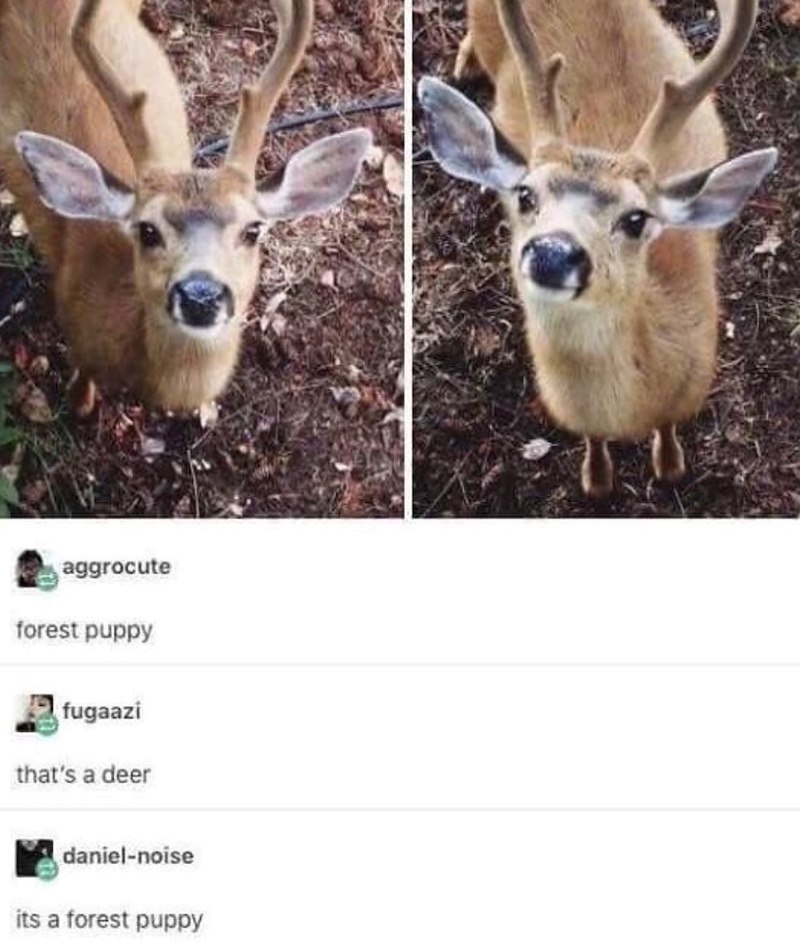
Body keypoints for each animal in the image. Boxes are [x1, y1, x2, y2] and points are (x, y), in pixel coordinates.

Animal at [419, 0, 777, 499]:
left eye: (636, 218)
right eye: (525, 195)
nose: (554, 252)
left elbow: (667, 432)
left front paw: (670, 467)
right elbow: (594, 443)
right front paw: (598, 479)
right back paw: (465, 62)